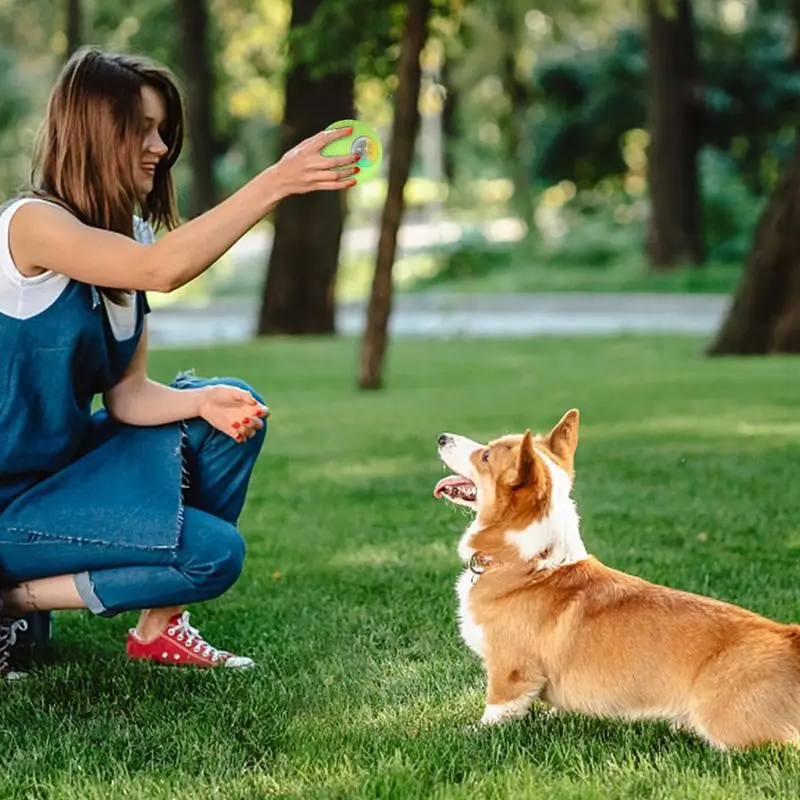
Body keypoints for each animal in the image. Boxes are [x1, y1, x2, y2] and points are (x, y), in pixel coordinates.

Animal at [438, 412, 800, 752]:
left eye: (486, 456)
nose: (442, 437)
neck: (528, 563)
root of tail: (790, 640)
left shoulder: (510, 672)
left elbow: (497, 710)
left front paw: (471, 732)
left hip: (723, 721)